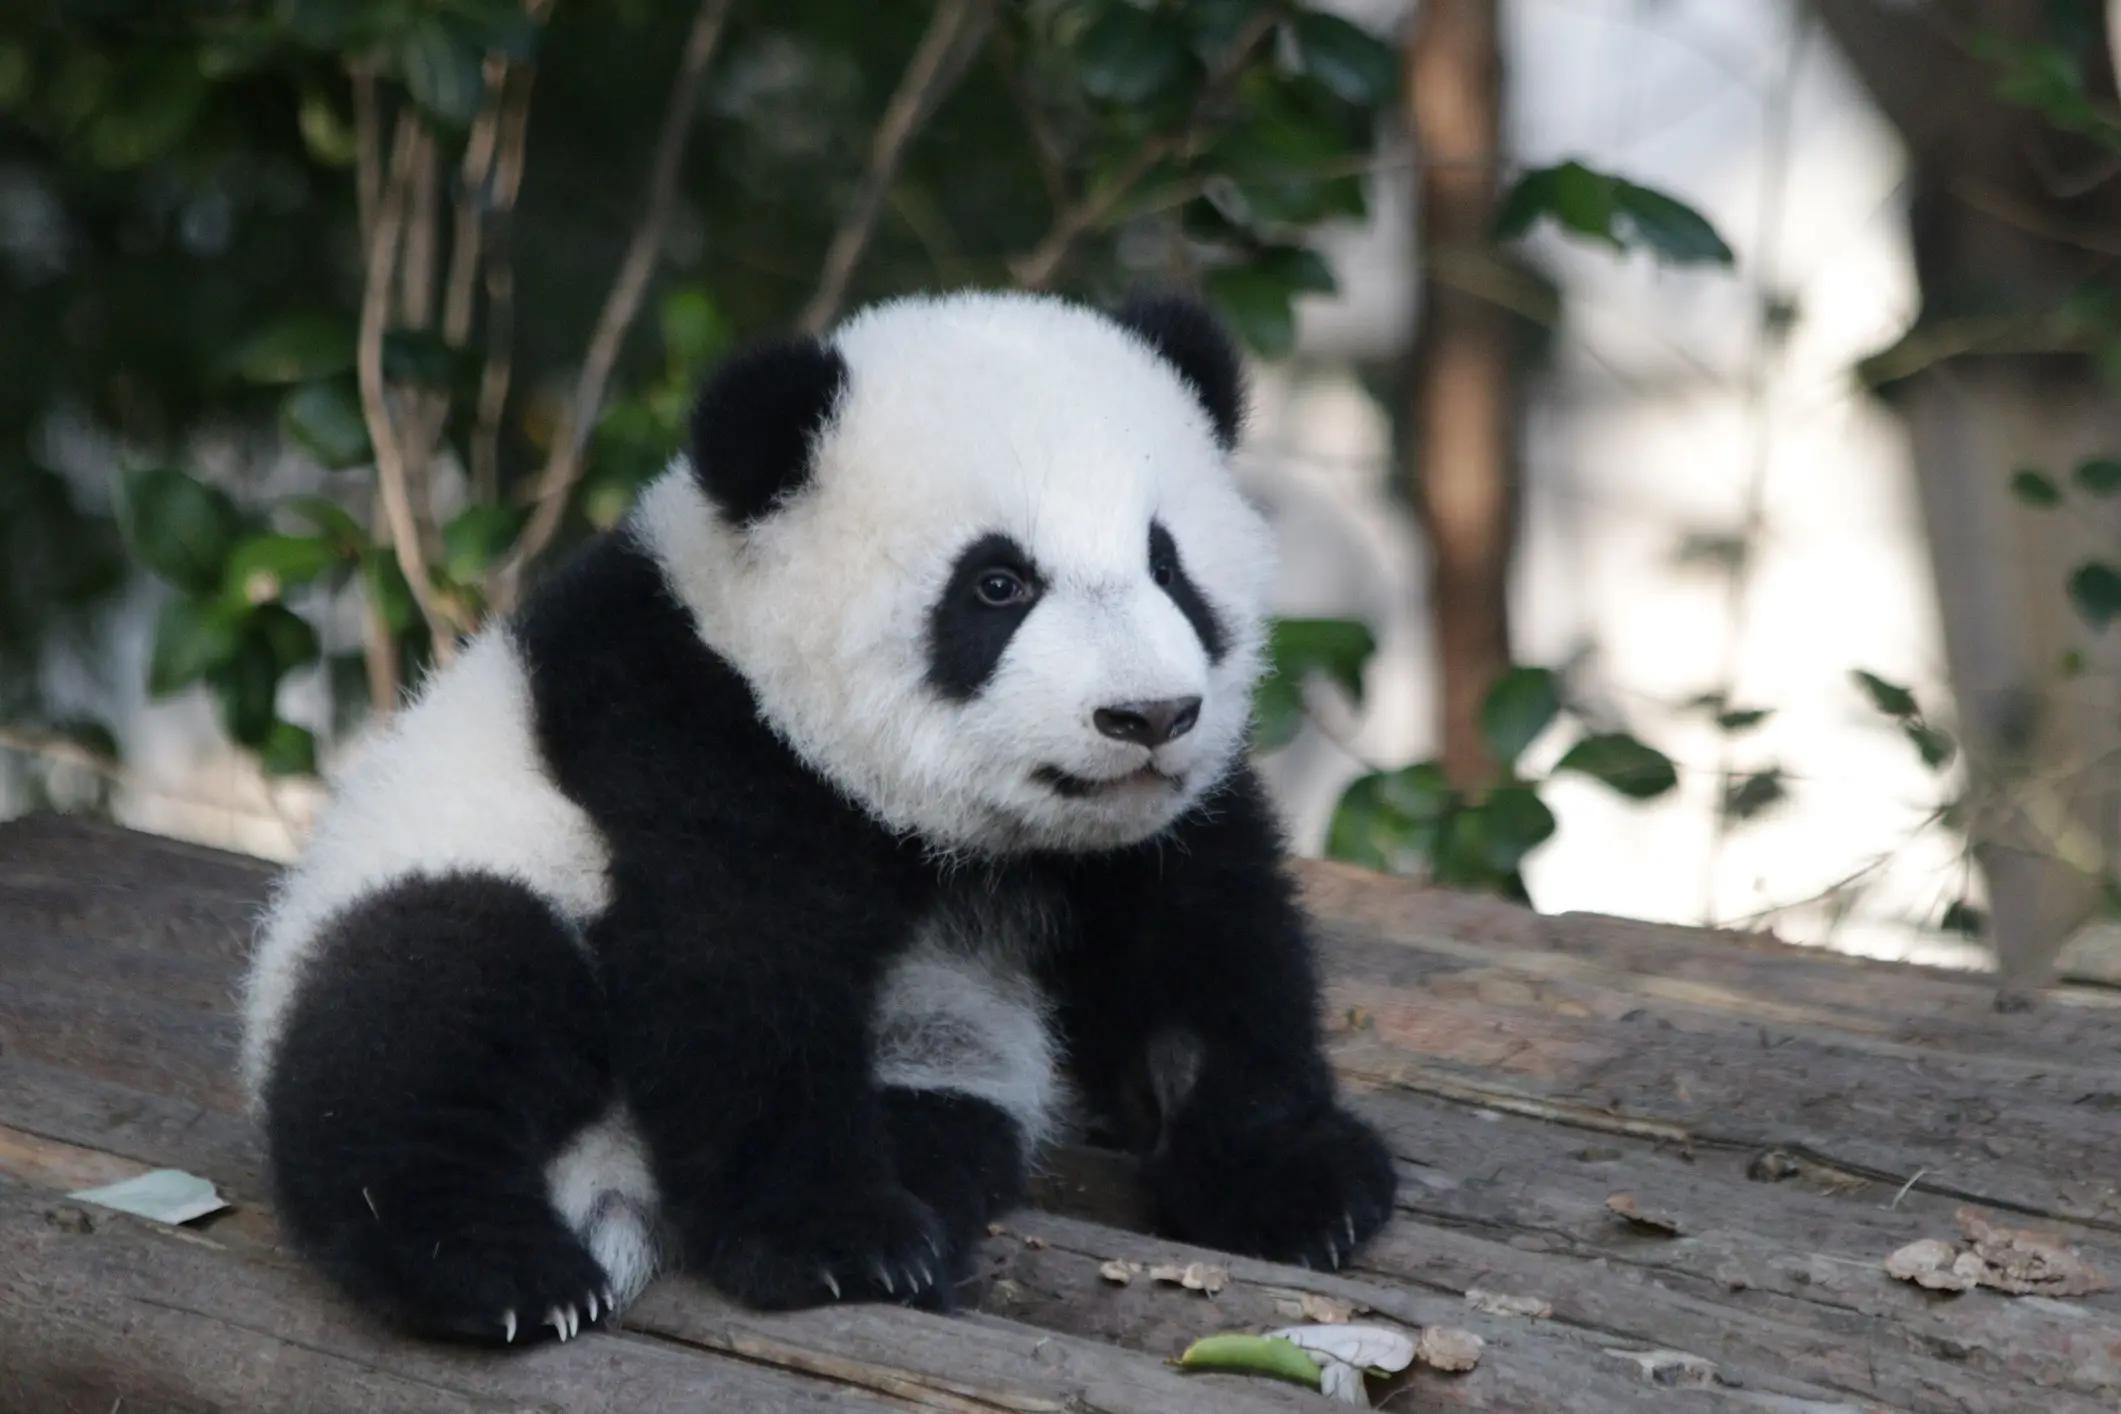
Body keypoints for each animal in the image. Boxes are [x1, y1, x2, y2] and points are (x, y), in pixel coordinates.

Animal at [242, 290, 1397, 1344]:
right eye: (998, 584)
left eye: (1168, 567)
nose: (1148, 717)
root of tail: (614, 1175)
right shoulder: (684, 732)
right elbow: (738, 974)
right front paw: (837, 1241)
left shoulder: (1144, 830)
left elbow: (1205, 942)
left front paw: (1299, 1188)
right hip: (447, 865)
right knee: (430, 1001)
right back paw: (501, 1269)